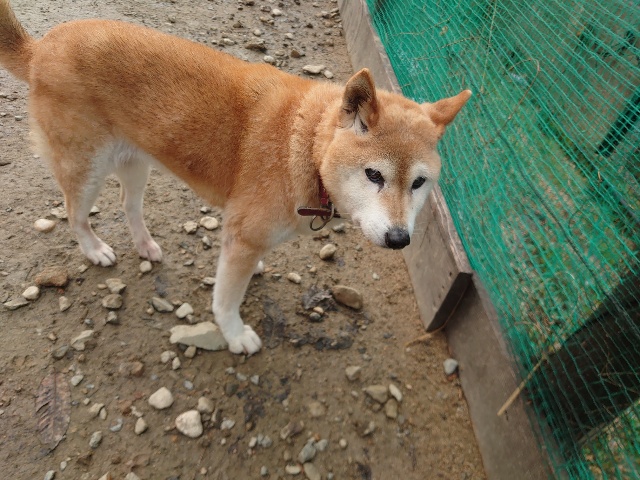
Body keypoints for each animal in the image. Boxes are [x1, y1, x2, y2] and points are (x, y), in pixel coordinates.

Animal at [0, 0, 470, 355]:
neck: (304, 147)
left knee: (128, 206)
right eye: (374, 174)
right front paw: (235, 334)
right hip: (85, 167)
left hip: (135, 164)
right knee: (75, 215)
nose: (399, 239)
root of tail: (40, 47)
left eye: (418, 184)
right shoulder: (242, 235)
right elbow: (226, 298)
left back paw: (146, 245)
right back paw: (96, 250)